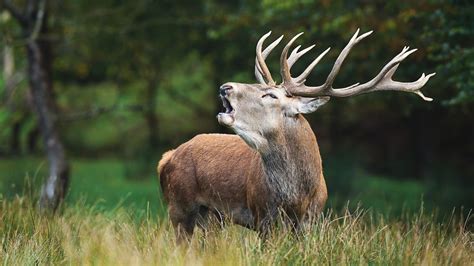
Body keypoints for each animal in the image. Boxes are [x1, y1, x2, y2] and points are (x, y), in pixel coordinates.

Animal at [157, 29, 436, 241]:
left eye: (270, 94)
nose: (226, 87)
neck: (297, 196)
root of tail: (167, 157)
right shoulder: (263, 216)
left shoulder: (311, 220)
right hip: (179, 206)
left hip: (212, 217)